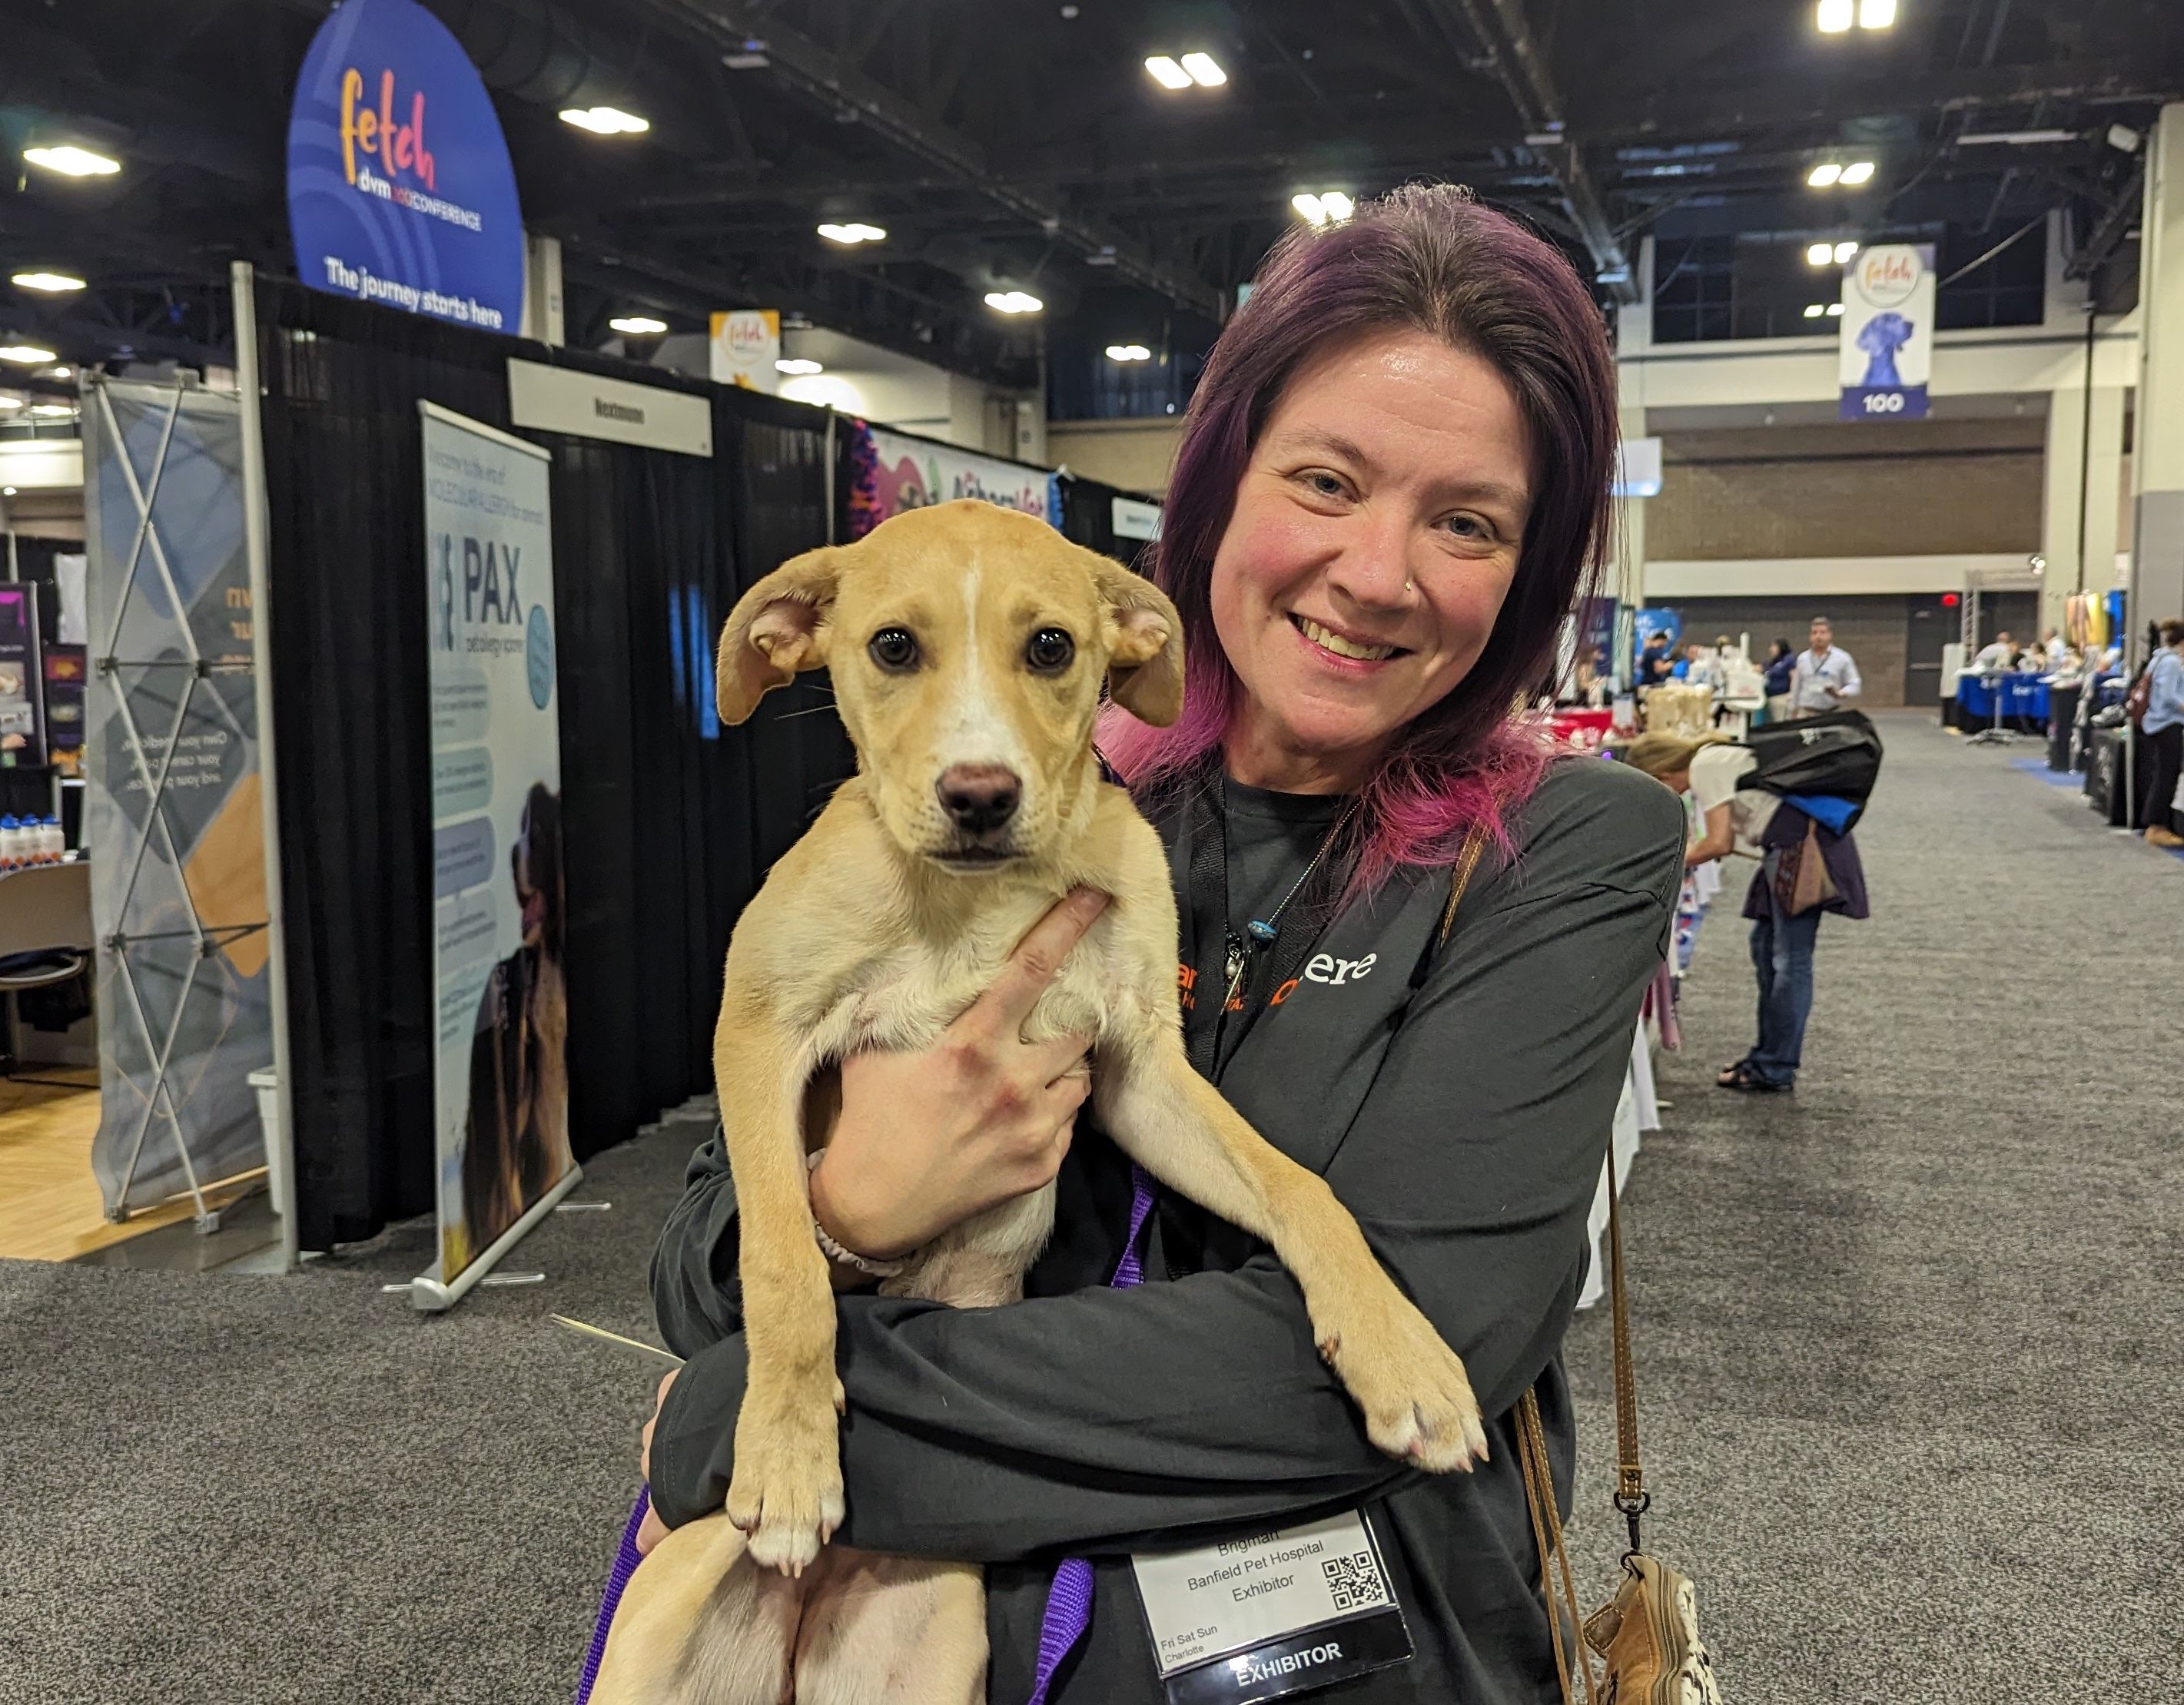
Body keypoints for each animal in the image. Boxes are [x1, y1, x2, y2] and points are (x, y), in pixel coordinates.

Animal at [598, 499, 1485, 1703]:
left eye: (1053, 647)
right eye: (891, 646)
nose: (980, 796)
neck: (979, 896)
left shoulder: (1140, 1070)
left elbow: (1300, 1187)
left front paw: (1402, 1352)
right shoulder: (756, 1030)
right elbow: (783, 1257)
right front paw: (784, 1448)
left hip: (925, 1658)